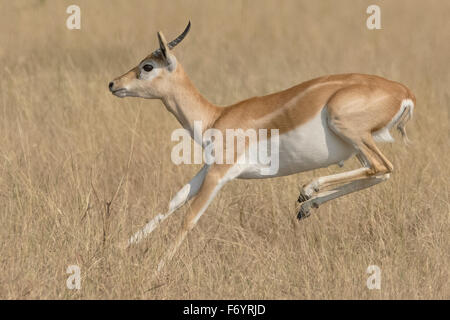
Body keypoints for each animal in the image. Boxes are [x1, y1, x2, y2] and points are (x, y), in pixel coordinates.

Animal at [108, 21, 414, 272]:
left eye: (147, 66)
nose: (113, 83)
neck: (215, 117)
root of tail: (404, 92)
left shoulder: (220, 173)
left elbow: (190, 217)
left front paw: (156, 269)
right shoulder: (207, 168)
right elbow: (173, 201)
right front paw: (117, 248)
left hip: (349, 129)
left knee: (382, 166)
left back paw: (308, 190)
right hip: (359, 146)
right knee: (380, 172)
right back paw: (306, 205)